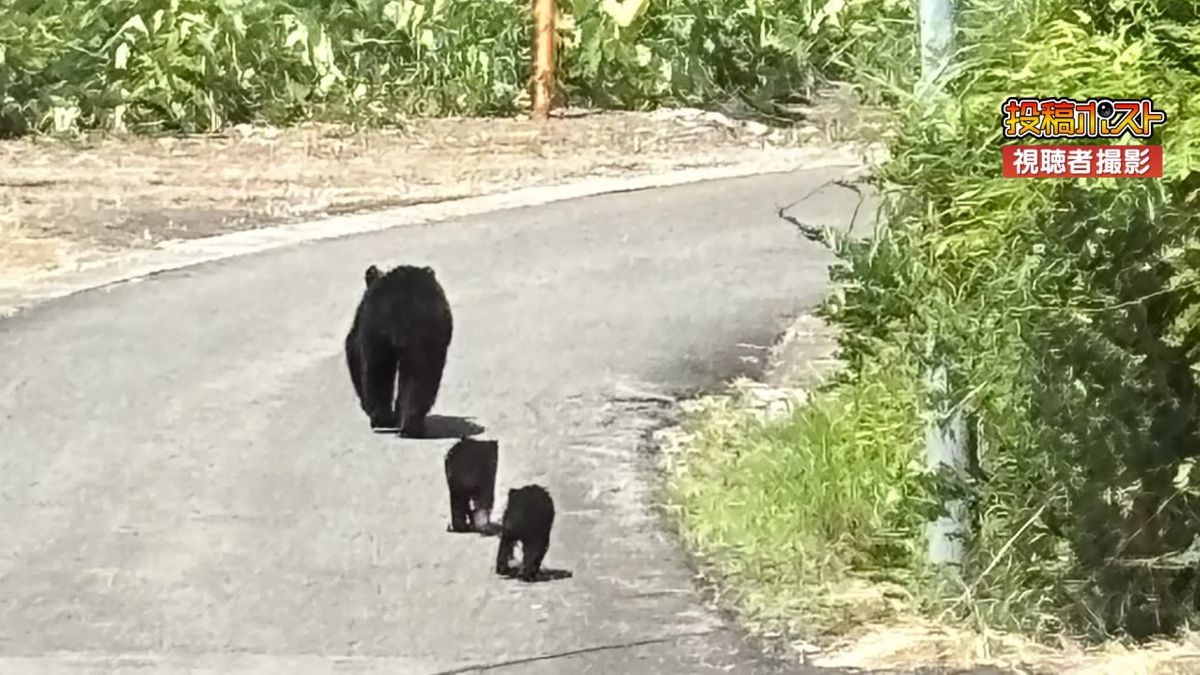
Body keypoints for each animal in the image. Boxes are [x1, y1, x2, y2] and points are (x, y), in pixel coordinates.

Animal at [345, 263, 453, 438]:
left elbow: (352, 349)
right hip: (424, 338)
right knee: (419, 375)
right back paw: (409, 425)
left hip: (377, 331)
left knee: (377, 373)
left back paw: (383, 420)